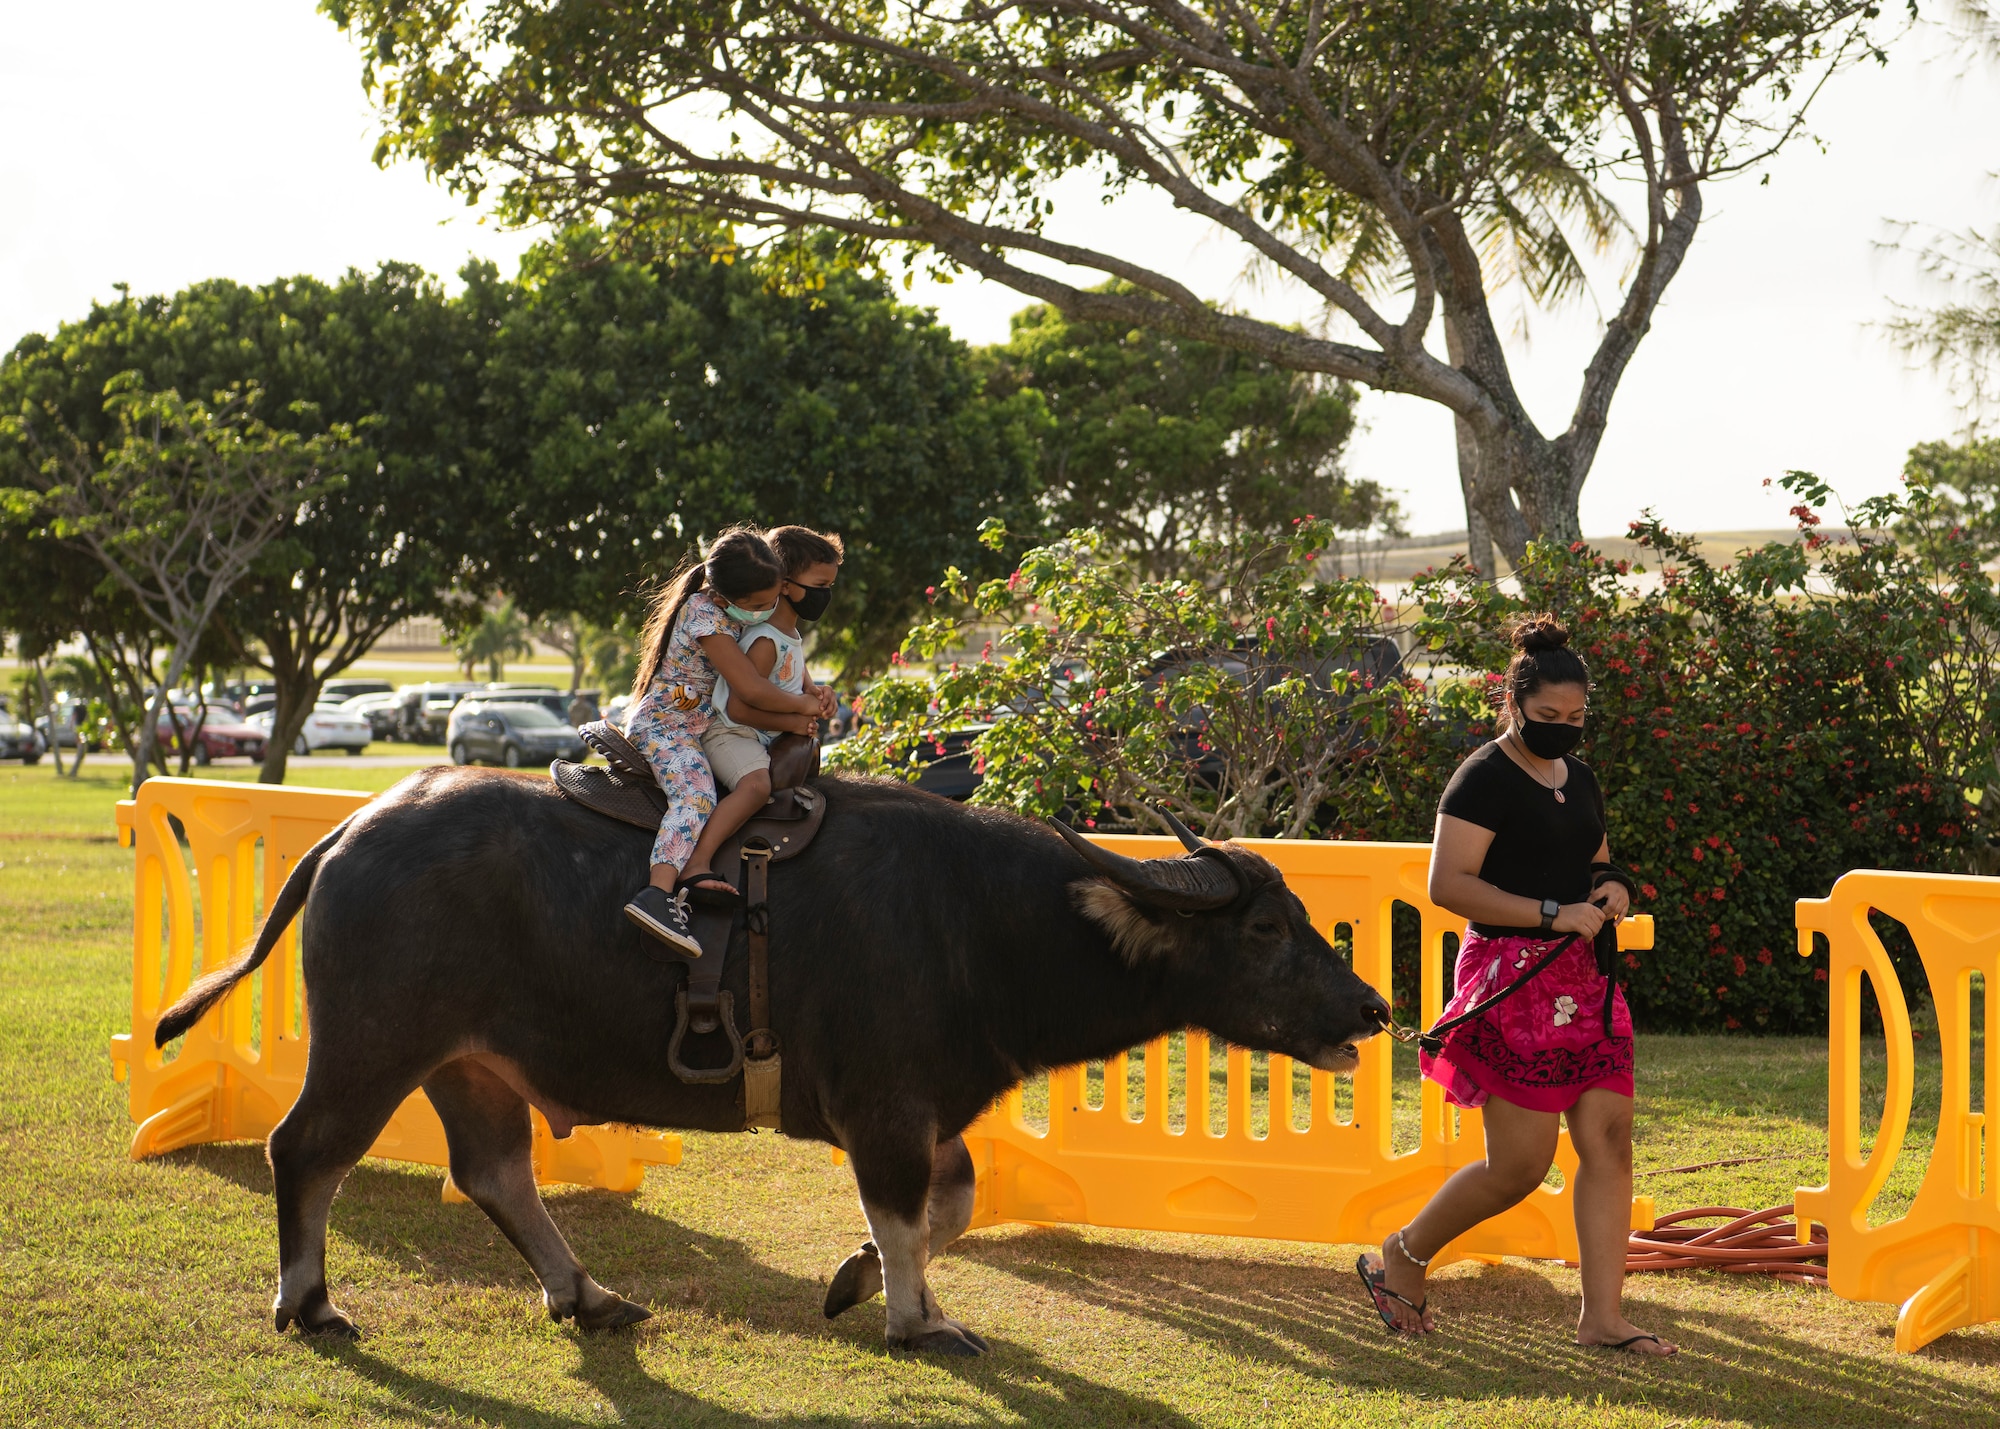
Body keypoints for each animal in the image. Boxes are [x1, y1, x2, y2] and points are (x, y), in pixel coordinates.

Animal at [156, 768, 1384, 1344]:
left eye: (1298, 916)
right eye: (1263, 927)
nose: (1373, 1007)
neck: (980, 920)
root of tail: (354, 828)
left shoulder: (925, 1116)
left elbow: (947, 1206)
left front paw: (857, 1279)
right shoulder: (883, 1109)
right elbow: (908, 1215)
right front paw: (915, 1318)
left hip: (473, 1067)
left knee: (495, 1172)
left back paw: (588, 1294)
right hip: (374, 1045)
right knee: (304, 1150)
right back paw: (310, 1302)